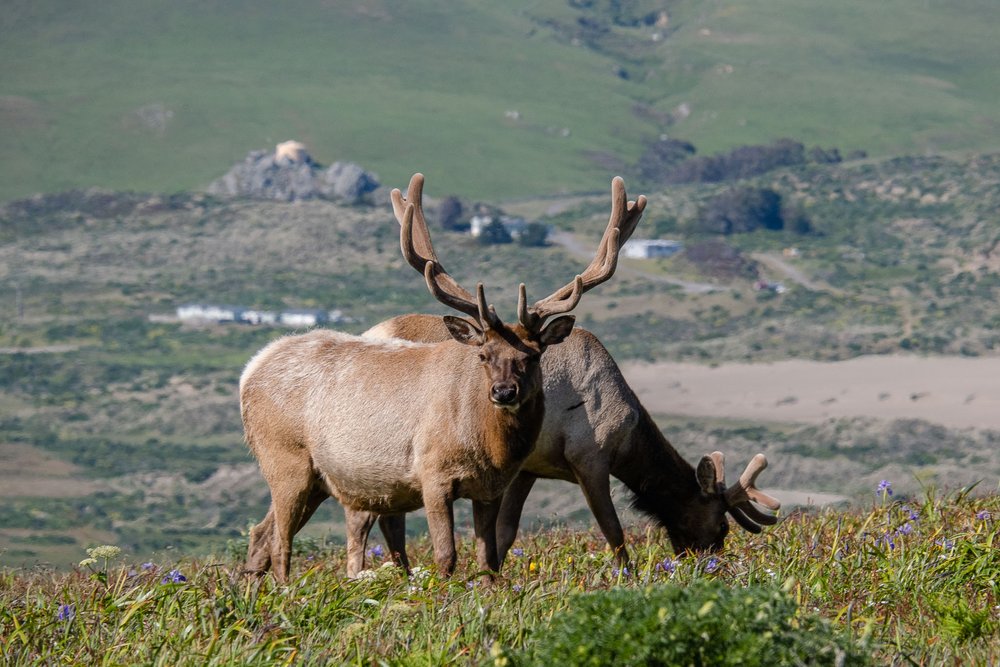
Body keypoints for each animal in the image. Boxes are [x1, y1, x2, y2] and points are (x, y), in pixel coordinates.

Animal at [238, 175, 636, 580]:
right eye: (483, 355)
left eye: (534, 355)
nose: (504, 392)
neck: (485, 445)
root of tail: (250, 369)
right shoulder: (432, 474)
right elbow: (446, 557)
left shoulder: (491, 488)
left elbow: (489, 561)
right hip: (285, 460)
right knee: (280, 542)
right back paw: (285, 589)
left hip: (317, 479)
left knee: (260, 534)